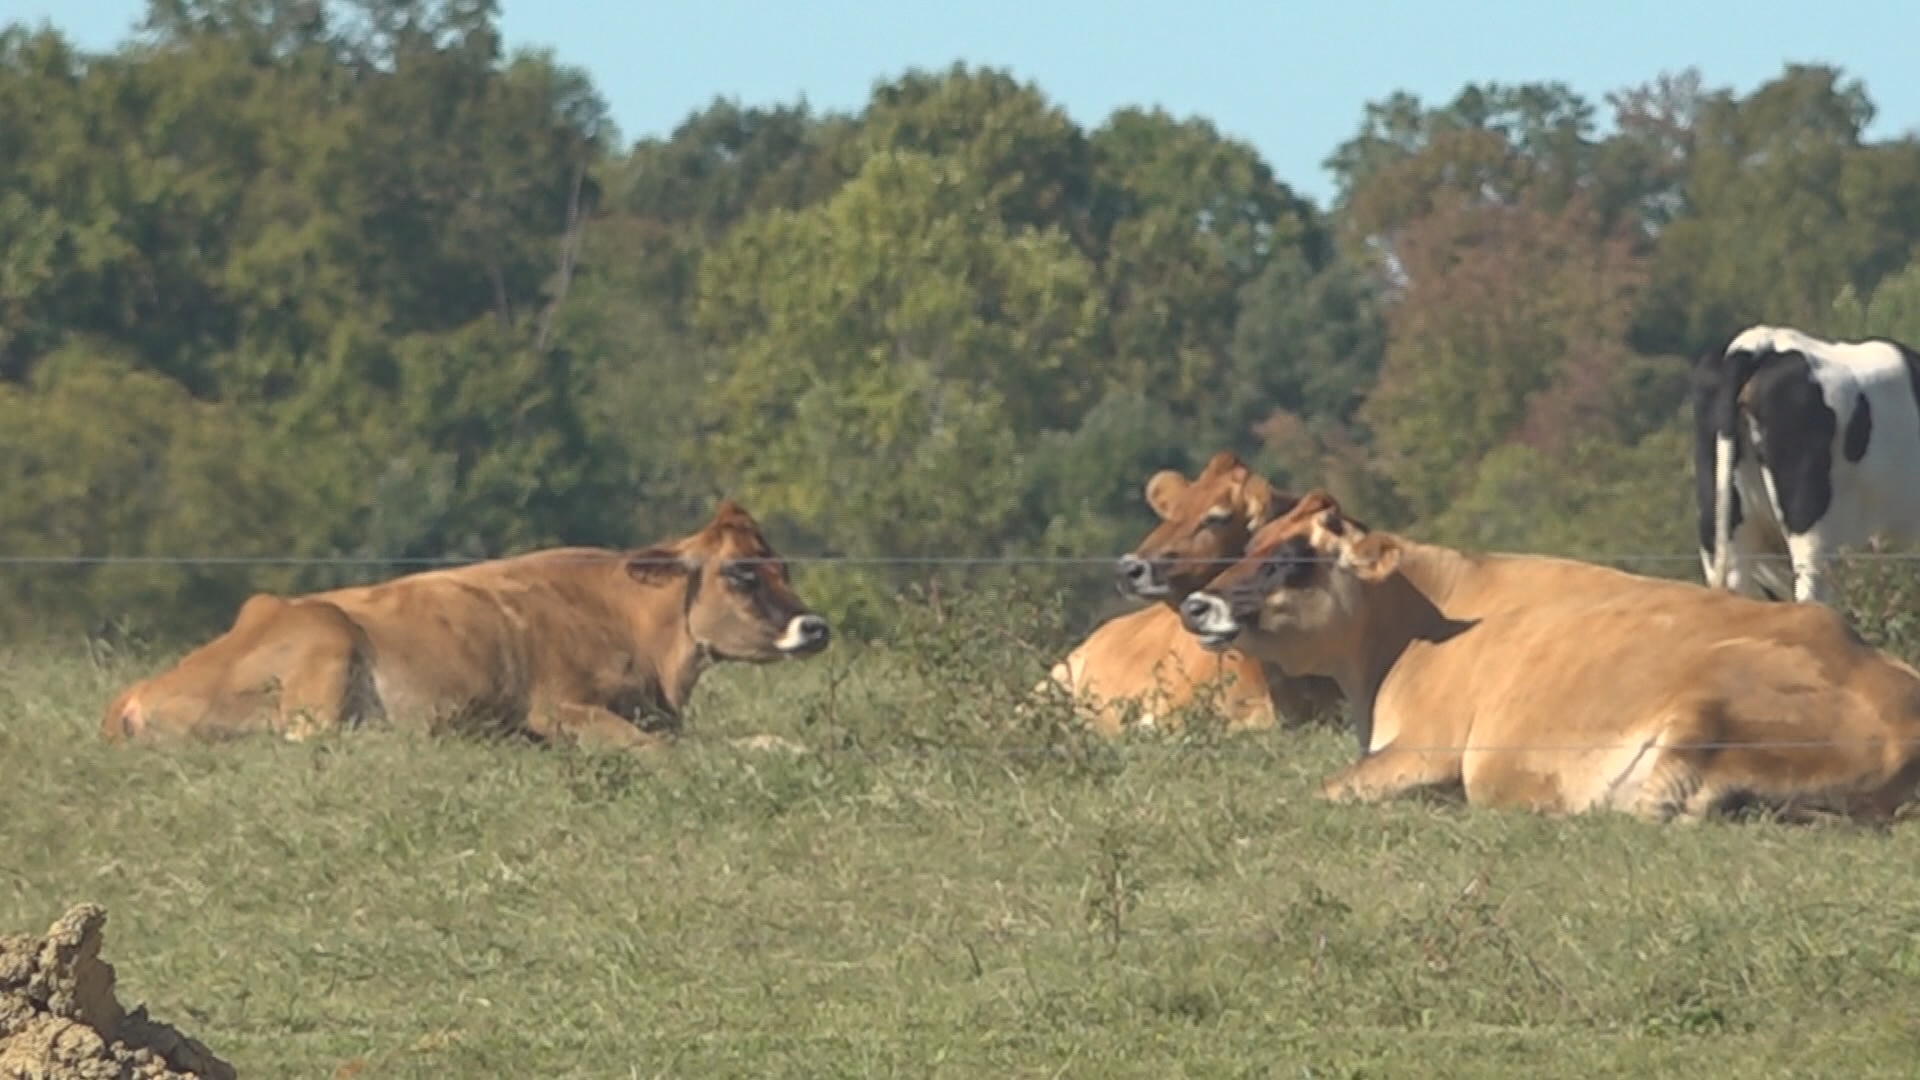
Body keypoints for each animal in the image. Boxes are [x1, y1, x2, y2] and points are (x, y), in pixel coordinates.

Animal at [99, 495, 825, 749]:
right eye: (741, 573)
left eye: (784, 564)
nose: (814, 626)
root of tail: (139, 691)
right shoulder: (560, 706)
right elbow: (661, 751)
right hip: (326, 638)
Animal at [1175, 490, 1920, 822]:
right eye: (1250, 543)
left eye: (1293, 555)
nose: (1196, 607)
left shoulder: (1427, 748)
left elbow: (1324, 790)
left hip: (1702, 717)